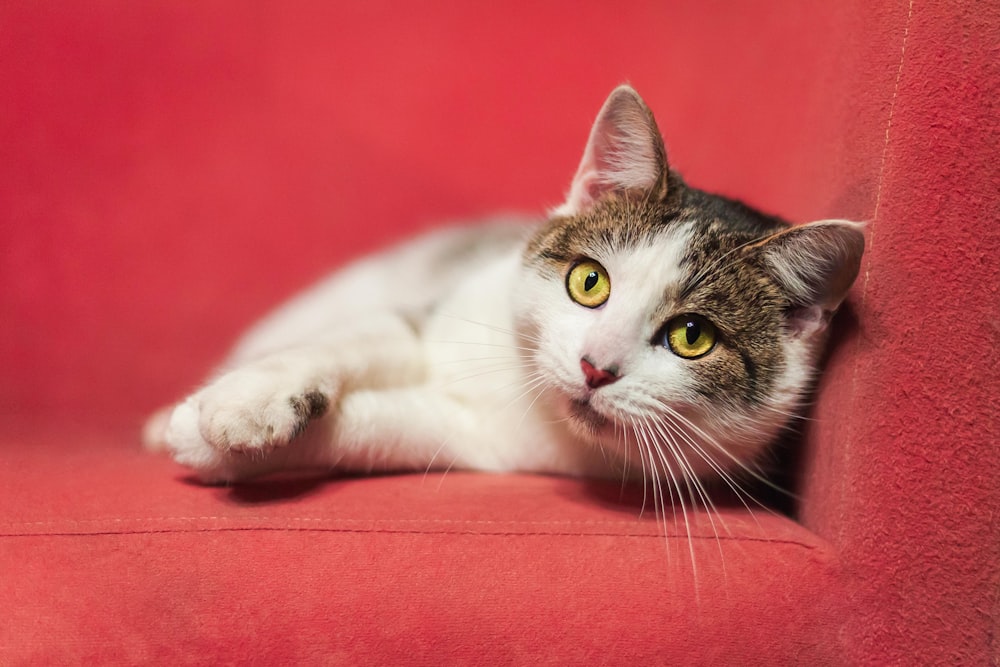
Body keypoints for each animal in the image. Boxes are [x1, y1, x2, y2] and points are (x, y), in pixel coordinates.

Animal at [145, 83, 864, 498]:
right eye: (589, 281)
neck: (527, 396)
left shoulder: (476, 442)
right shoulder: (434, 312)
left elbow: (381, 424)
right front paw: (245, 402)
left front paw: (211, 442)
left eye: (693, 336)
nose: (595, 367)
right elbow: (362, 337)